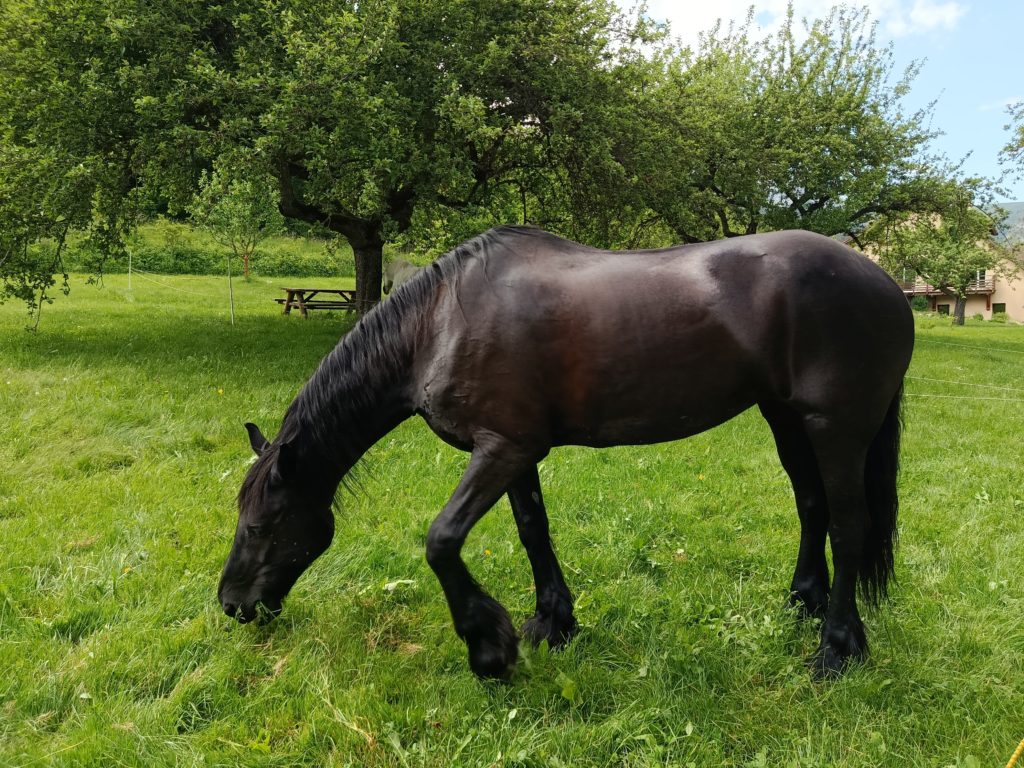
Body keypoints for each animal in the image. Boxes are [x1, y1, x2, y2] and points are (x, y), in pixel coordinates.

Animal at [219, 225, 914, 681]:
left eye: (258, 525)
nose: (231, 604)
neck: (440, 324)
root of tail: (884, 281)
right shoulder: (514, 450)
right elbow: (533, 529)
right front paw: (552, 624)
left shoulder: (500, 449)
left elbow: (442, 540)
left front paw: (490, 649)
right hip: (786, 419)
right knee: (811, 507)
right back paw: (803, 604)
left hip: (836, 429)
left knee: (849, 525)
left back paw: (837, 649)